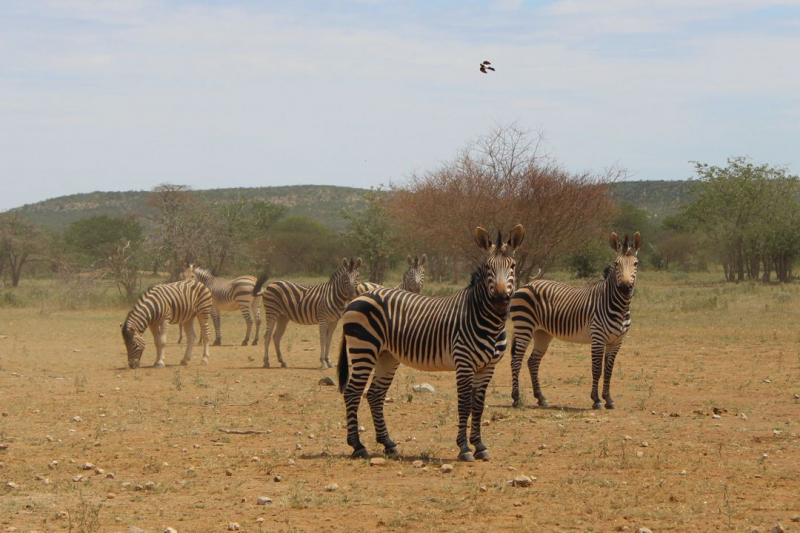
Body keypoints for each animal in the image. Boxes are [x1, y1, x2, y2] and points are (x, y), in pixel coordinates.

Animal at [338, 224, 524, 462]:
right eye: (487, 267)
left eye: (513, 266)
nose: (500, 299)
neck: (487, 320)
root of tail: (357, 298)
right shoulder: (464, 363)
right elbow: (464, 404)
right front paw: (464, 449)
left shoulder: (488, 367)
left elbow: (478, 406)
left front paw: (480, 446)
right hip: (363, 349)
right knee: (352, 393)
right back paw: (358, 446)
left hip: (386, 356)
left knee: (374, 395)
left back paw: (388, 443)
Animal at [512, 231, 644, 410]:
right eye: (616, 264)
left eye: (635, 263)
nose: (624, 288)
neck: (619, 306)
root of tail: (527, 284)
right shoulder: (598, 338)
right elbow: (597, 369)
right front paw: (596, 400)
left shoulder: (616, 341)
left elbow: (609, 370)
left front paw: (609, 399)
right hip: (523, 326)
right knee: (516, 360)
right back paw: (516, 398)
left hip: (542, 333)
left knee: (532, 361)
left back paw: (541, 398)